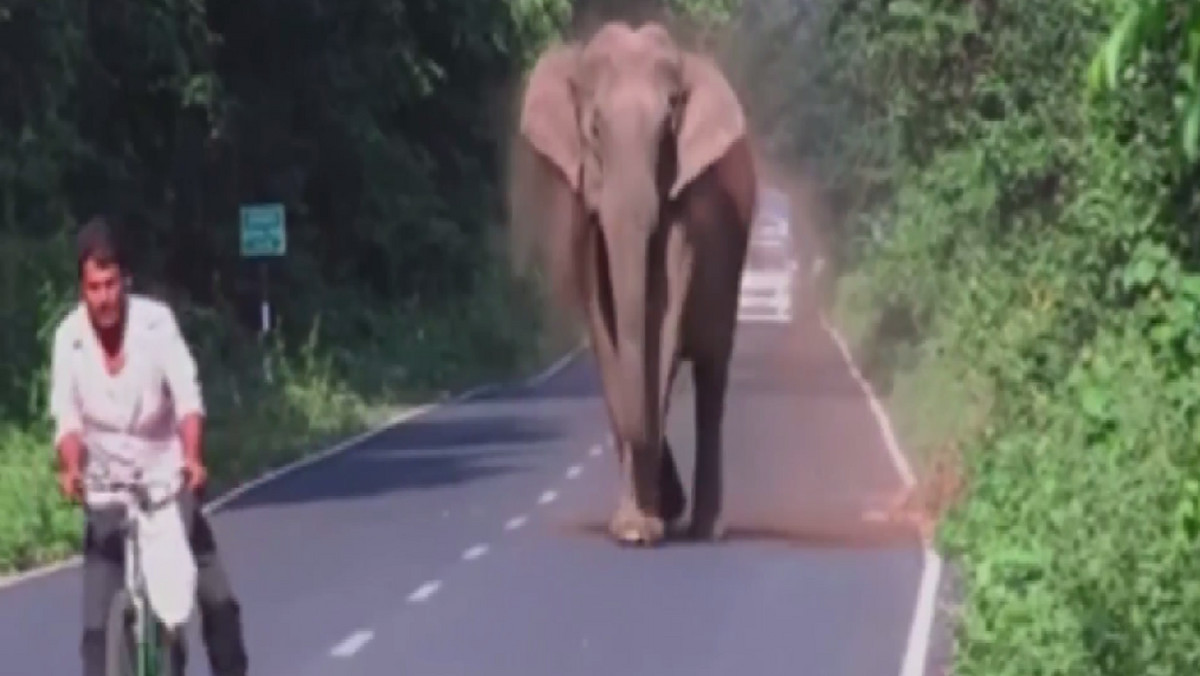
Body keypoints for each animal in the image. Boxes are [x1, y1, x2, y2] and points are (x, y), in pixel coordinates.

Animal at [508, 21, 753, 547]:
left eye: (668, 129)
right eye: (595, 130)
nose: (668, 500)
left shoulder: (689, 216)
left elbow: (661, 333)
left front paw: (643, 528)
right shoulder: (584, 210)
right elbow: (609, 339)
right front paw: (635, 529)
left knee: (712, 378)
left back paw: (705, 529)